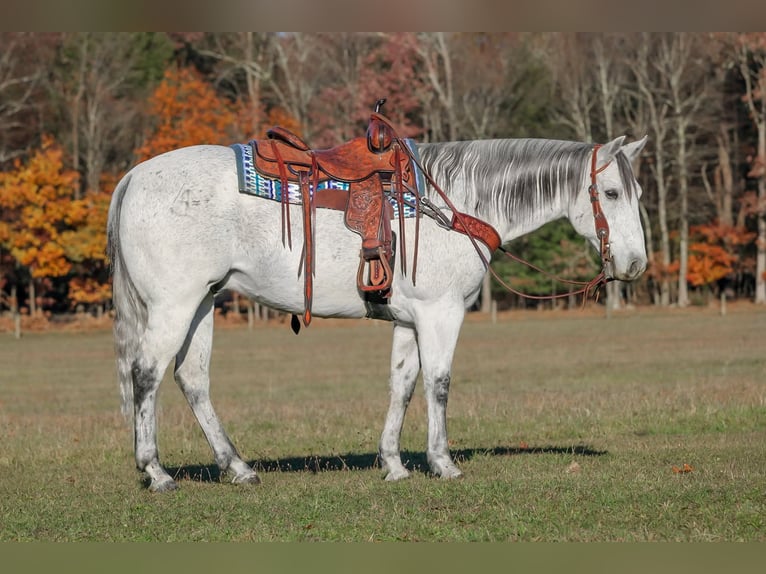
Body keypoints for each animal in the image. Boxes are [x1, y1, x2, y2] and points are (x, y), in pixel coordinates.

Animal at [107, 133, 648, 492]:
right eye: (612, 194)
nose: (636, 264)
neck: (455, 203)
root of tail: (134, 176)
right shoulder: (440, 313)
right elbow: (438, 384)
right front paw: (443, 462)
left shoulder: (411, 320)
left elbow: (402, 385)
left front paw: (394, 463)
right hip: (174, 306)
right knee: (146, 374)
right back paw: (156, 471)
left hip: (201, 303)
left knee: (192, 378)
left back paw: (236, 467)